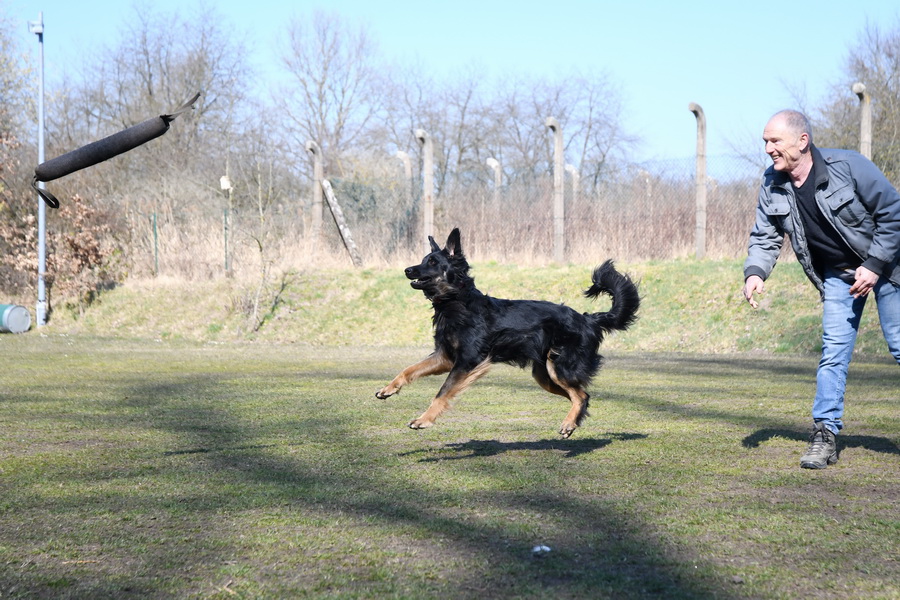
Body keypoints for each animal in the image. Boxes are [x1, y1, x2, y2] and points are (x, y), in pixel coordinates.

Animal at [374, 227, 640, 438]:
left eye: (432, 262)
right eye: (423, 259)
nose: (407, 270)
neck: (456, 301)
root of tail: (588, 318)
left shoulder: (467, 361)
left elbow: (442, 392)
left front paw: (424, 420)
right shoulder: (445, 357)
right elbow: (408, 369)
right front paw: (389, 389)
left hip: (559, 368)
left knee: (581, 395)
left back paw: (568, 423)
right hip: (545, 377)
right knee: (581, 396)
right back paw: (573, 422)